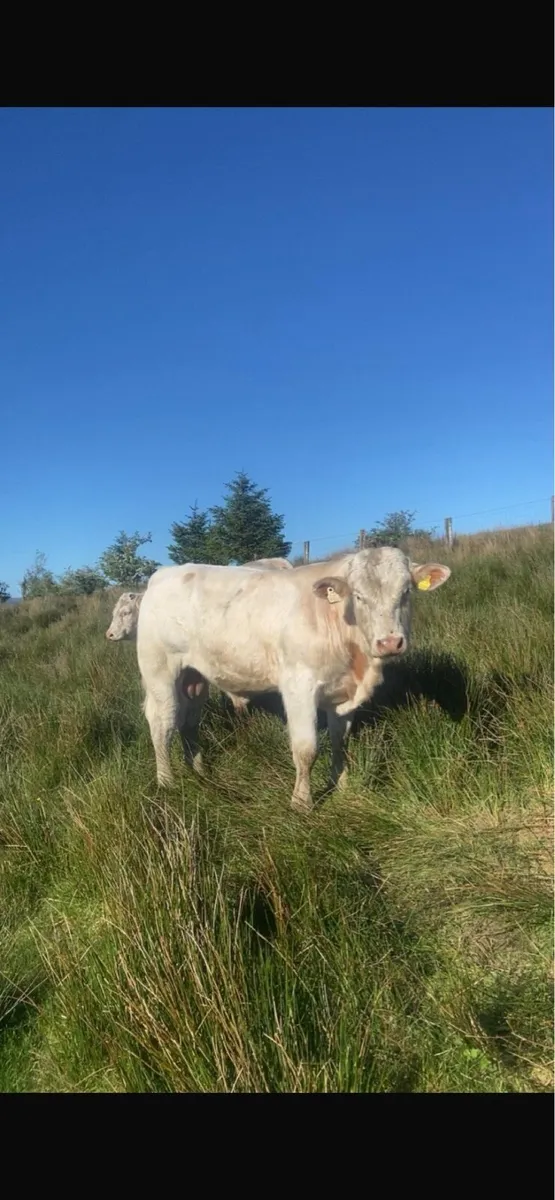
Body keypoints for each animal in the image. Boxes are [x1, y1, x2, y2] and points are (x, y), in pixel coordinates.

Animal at [136, 547, 451, 811]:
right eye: (359, 596)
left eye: (406, 591)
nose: (389, 642)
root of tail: (165, 573)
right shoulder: (299, 687)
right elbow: (306, 749)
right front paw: (301, 802)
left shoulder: (342, 693)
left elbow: (340, 741)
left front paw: (342, 786)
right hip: (159, 669)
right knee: (163, 722)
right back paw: (166, 781)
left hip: (194, 676)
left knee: (189, 721)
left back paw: (199, 770)